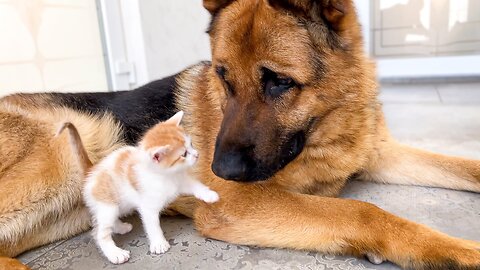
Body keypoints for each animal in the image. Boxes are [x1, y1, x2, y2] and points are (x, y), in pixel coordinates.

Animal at [56, 110, 219, 264]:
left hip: (118, 205)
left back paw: (121, 227)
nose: (197, 154)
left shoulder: (180, 180)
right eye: (184, 154)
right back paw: (115, 253)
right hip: (107, 205)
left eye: (191, 145)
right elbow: (153, 225)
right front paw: (159, 243)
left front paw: (210, 195)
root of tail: (92, 170)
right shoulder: (148, 207)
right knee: (99, 232)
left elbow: (196, 185)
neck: (165, 175)